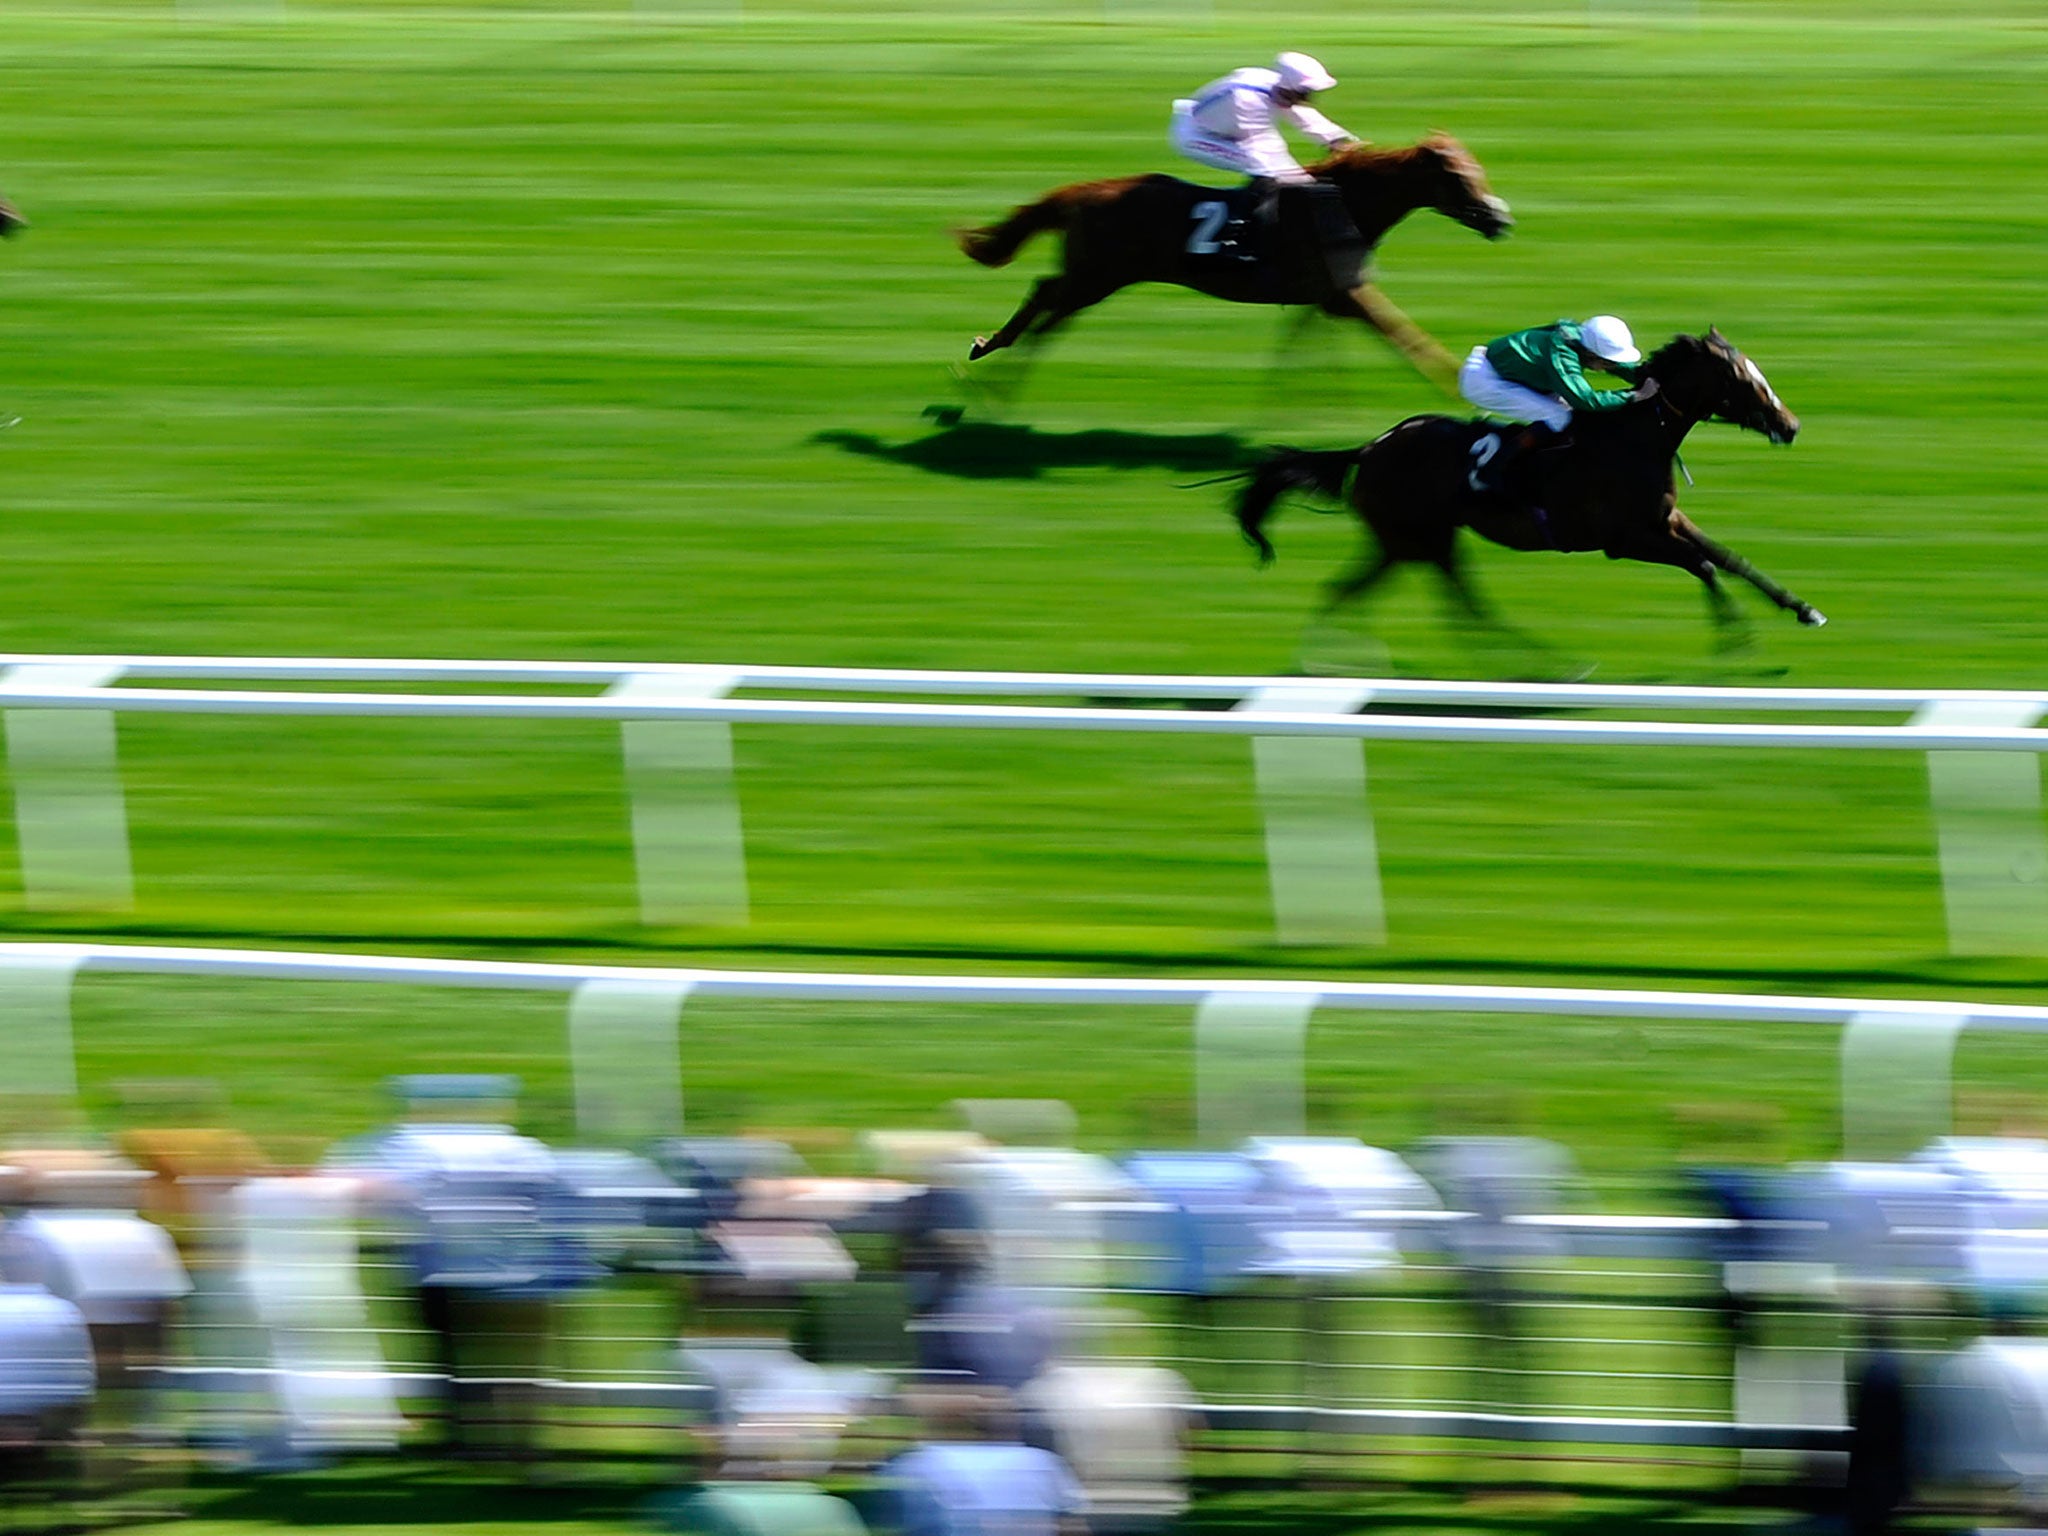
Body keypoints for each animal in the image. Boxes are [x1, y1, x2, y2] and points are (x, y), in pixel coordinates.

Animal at [954, 135, 1507, 382]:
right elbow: (1406, 335)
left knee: (1048, 297)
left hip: (1095, 275)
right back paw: (994, 350)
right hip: (1098, 276)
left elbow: (1303, 348)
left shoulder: (1325, 299)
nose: (1500, 219)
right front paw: (1460, 384)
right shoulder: (1347, 295)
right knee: (1047, 295)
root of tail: (1082, 191)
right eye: (1459, 178)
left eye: (1479, 170)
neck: (1343, 202)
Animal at [1220, 325, 1835, 638]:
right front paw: (1736, 634)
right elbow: (1704, 565)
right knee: (1452, 607)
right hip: (1416, 540)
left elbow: (1729, 558)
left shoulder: (1665, 520)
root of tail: (1369, 448)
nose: (1791, 426)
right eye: (1742, 380)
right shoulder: (1623, 539)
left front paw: (1805, 610)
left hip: (1413, 544)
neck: (1635, 438)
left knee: (1390, 597)